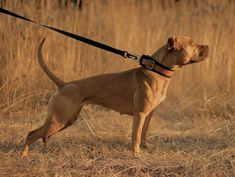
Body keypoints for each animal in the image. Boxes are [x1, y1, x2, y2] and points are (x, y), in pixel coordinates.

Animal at [21, 35, 209, 156]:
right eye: (192, 43)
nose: (207, 46)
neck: (157, 71)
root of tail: (64, 84)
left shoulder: (148, 115)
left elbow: (144, 133)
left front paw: (145, 147)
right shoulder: (139, 114)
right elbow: (136, 135)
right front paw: (136, 153)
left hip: (66, 120)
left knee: (44, 135)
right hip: (59, 119)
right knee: (32, 134)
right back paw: (24, 156)